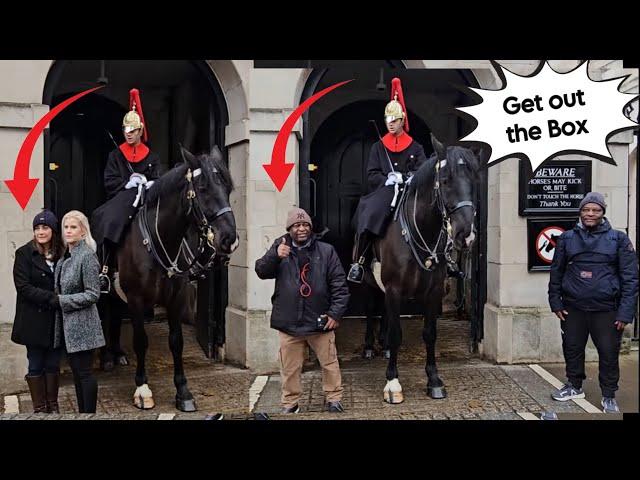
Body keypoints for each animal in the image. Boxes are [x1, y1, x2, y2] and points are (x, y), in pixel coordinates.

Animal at [106, 144, 239, 410]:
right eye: (203, 189)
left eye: (227, 188)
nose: (229, 239)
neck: (161, 238)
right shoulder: (135, 299)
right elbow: (141, 341)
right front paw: (142, 389)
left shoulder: (176, 298)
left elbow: (176, 341)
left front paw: (183, 391)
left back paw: (118, 353)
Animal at [362, 136, 478, 404]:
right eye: (445, 180)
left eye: (474, 181)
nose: (465, 235)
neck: (421, 229)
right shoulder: (394, 288)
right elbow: (396, 333)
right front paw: (392, 382)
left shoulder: (432, 292)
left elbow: (430, 333)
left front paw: (434, 379)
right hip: (369, 282)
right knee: (372, 308)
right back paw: (370, 346)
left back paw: (383, 345)